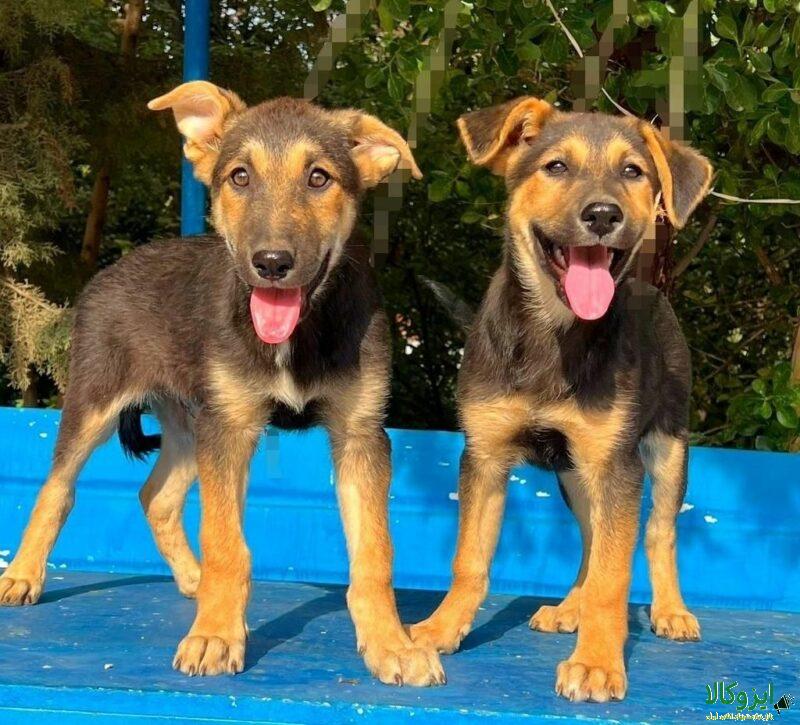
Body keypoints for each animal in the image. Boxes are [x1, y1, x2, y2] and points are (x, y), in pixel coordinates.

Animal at [0, 82, 444, 688]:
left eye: (319, 178)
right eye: (239, 177)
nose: (272, 263)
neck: (296, 335)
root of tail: (110, 270)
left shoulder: (359, 435)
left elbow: (374, 551)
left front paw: (391, 644)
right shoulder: (231, 430)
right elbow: (227, 543)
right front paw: (214, 635)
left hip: (192, 425)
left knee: (156, 496)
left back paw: (193, 578)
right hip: (99, 401)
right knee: (57, 488)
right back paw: (24, 575)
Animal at [412, 96, 712, 700]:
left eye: (633, 172)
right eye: (555, 167)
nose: (602, 216)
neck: (555, 330)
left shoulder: (618, 466)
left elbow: (614, 575)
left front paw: (596, 661)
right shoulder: (485, 454)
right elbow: (469, 558)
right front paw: (441, 629)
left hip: (667, 448)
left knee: (658, 532)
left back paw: (670, 611)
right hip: (575, 475)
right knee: (593, 539)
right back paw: (570, 607)